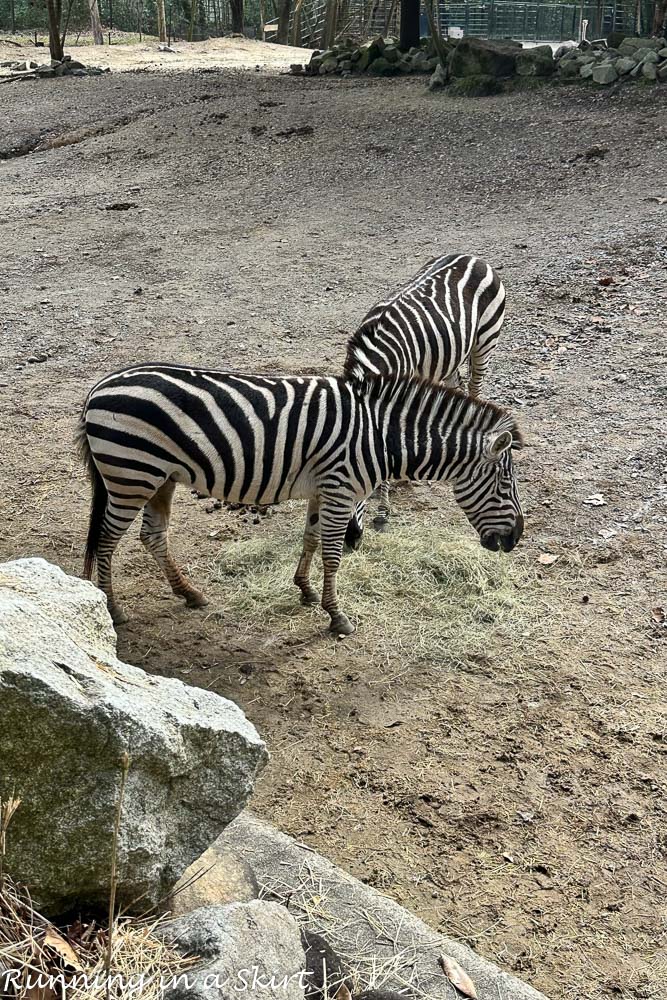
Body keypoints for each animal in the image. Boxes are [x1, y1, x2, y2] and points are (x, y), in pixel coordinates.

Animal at [78, 364, 524, 636]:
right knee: (106, 539)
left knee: (152, 536)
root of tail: (100, 385)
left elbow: (310, 540)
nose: (515, 539)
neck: (380, 436)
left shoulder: (324, 489)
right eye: (505, 484)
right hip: (132, 474)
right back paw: (112, 609)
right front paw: (337, 615)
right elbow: (333, 555)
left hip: (160, 477)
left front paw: (306, 592)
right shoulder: (342, 489)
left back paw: (190, 594)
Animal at [344, 250, 506, 548]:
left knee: (475, 387)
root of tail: (470, 256)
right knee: (456, 386)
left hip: (486, 339)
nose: (351, 540)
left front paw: (383, 511)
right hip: (450, 355)